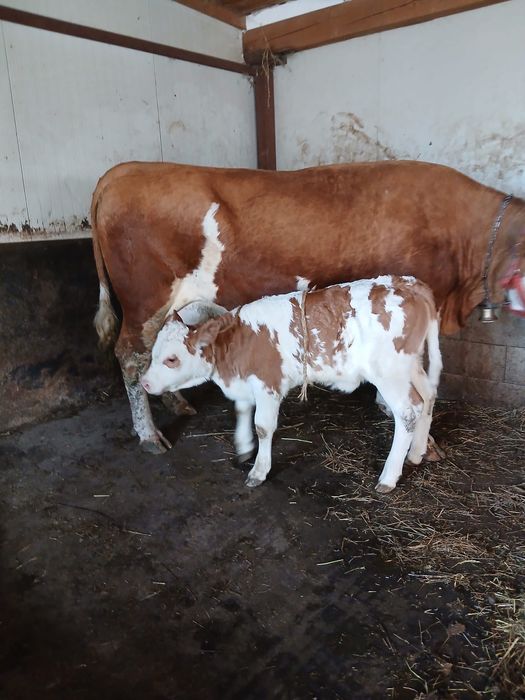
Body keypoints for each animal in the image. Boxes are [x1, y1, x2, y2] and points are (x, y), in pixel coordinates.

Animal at [140, 276, 442, 493]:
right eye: (154, 353)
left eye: (171, 359)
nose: (145, 383)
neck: (237, 341)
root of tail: (408, 283)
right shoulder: (244, 382)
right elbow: (241, 410)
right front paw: (243, 446)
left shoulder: (268, 384)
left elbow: (263, 426)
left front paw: (259, 470)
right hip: (411, 365)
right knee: (427, 396)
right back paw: (417, 452)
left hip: (389, 373)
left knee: (408, 411)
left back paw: (389, 477)